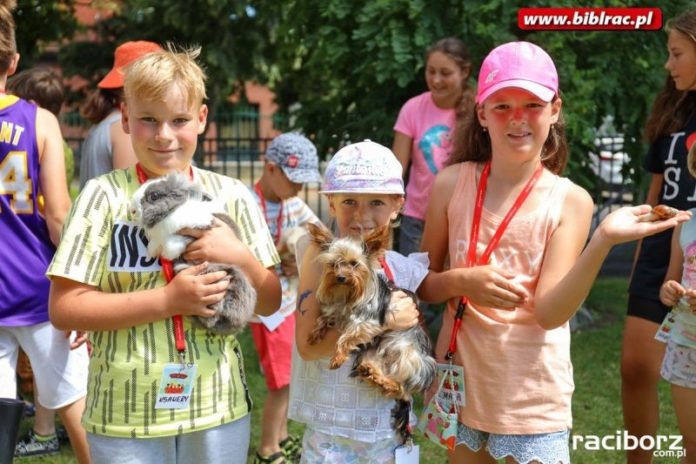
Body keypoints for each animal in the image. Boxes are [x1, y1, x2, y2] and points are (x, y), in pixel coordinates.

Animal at [130, 172, 256, 336]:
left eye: (154, 196)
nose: (132, 210)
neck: (174, 210)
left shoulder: (197, 227)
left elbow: (176, 240)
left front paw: (169, 252)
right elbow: (156, 242)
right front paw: (152, 252)